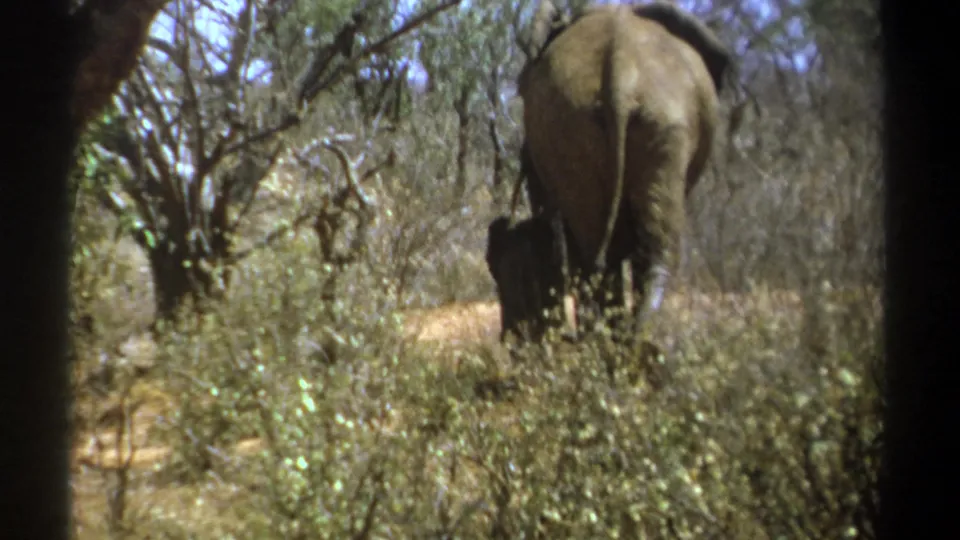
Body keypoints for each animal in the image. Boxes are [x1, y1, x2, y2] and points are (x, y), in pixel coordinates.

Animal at [515, 0, 735, 342]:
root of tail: (621, 75)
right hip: (610, 125)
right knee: (623, 250)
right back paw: (626, 340)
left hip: (613, 122)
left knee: (620, 251)